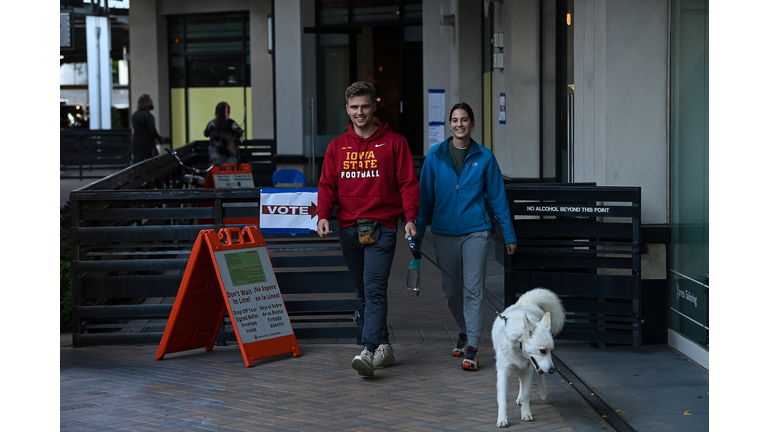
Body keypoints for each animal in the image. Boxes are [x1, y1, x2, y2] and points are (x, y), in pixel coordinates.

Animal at [492, 288, 564, 426]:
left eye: (551, 351)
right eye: (542, 351)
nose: (552, 371)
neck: (518, 345)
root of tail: (527, 301)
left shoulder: (528, 370)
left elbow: (526, 394)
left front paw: (526, 414)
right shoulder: (503, 373)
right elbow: (502, 399)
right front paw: (502, 419)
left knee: (538, 376)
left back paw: (542, 391)